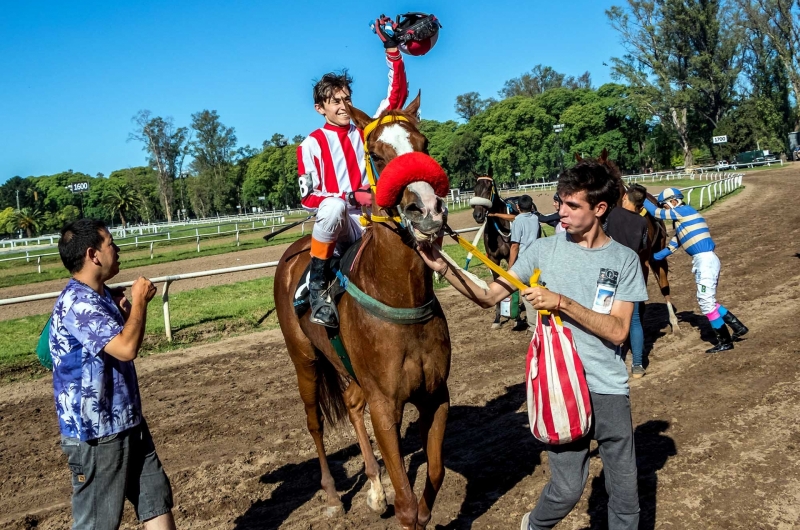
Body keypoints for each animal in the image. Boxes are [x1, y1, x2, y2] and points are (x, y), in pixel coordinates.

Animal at [274, 95, 450, 528]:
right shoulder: (385, 406)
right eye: (377, 154)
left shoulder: (436, 394)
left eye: (423, 144)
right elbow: (407, 505)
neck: (402, 297)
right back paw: (332, 494)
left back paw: (373, 487)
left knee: (353, 406)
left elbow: (435, 474)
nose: (427, 210)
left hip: (348, 368)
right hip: (304, 360)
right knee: (315, 422)